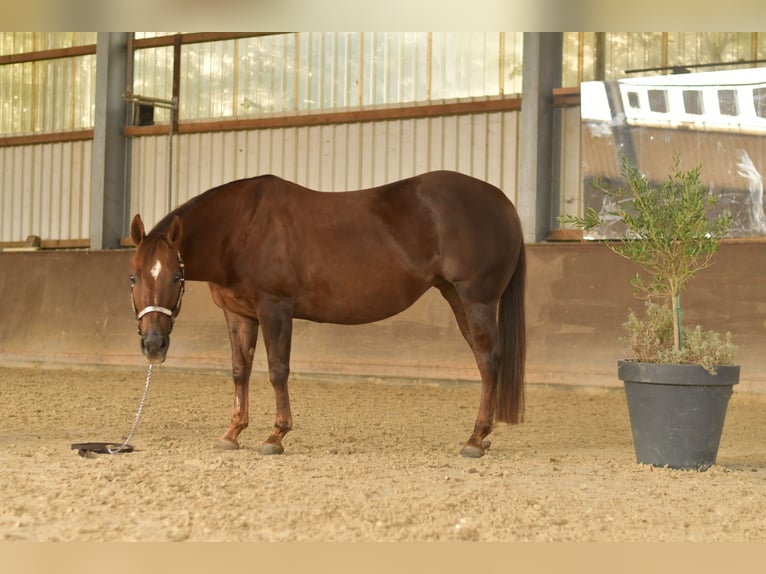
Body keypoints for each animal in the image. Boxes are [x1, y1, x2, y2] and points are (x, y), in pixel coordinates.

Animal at [128, 170, 526, 458]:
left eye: (176, 276)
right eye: (133, 277)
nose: (153, 346)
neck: (242, 228)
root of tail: (503, 202)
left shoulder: (275, 307)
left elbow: (278, 371)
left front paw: (275, 436)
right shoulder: (239, 315)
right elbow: (240, 371)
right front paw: (232, 433)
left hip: (477, 299)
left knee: (489, 360)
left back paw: (474, 440)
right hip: (457, 298)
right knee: (485, 361)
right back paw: (482, 437)